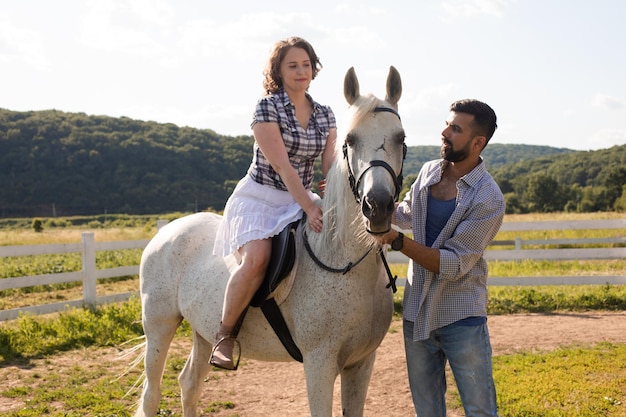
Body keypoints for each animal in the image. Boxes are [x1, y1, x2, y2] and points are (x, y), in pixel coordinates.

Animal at [133, 66, 404, 414]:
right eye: (350, 140)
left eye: (401, 138)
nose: (377, 207)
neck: (343, 262)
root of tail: (166, 232)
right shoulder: (319, 364)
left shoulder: (362, 363)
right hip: (159, 325)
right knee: (152, 394)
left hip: (202, 331)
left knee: (188, 384)